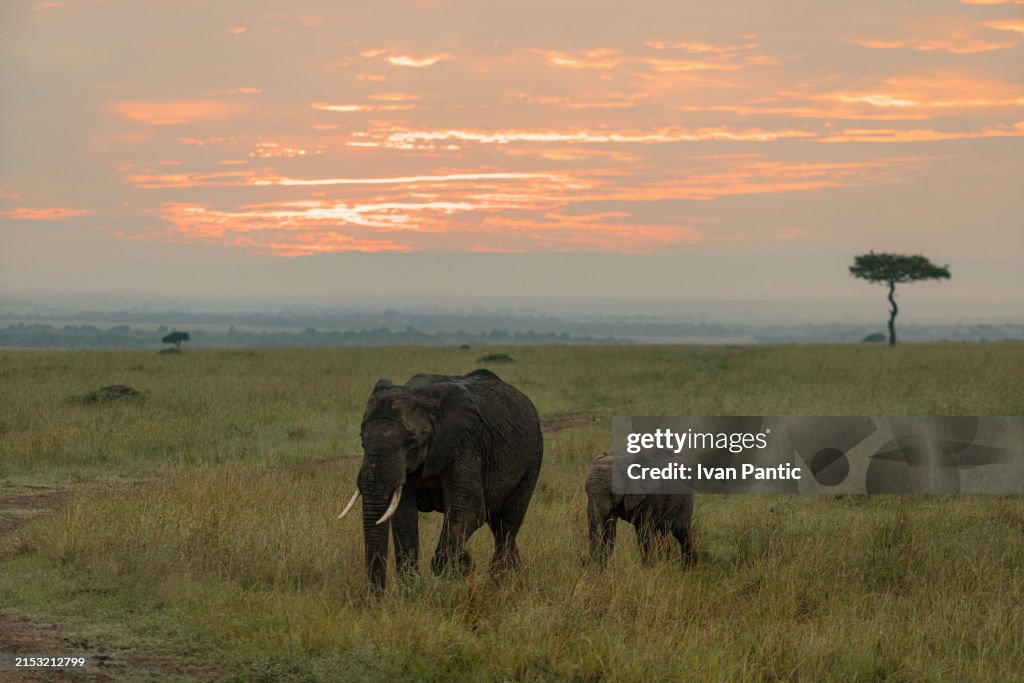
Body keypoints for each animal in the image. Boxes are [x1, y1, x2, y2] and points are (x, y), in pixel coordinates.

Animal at [339, 369, 543, 594]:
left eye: (411, 442)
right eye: (362, 439)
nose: (376, 599)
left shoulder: (465, 446)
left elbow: (467, 509)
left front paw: (460, 568)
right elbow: (403, 514)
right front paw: (411, 591)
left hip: (533, 456)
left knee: (507, 523)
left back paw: (497, 584)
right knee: (498, 525)